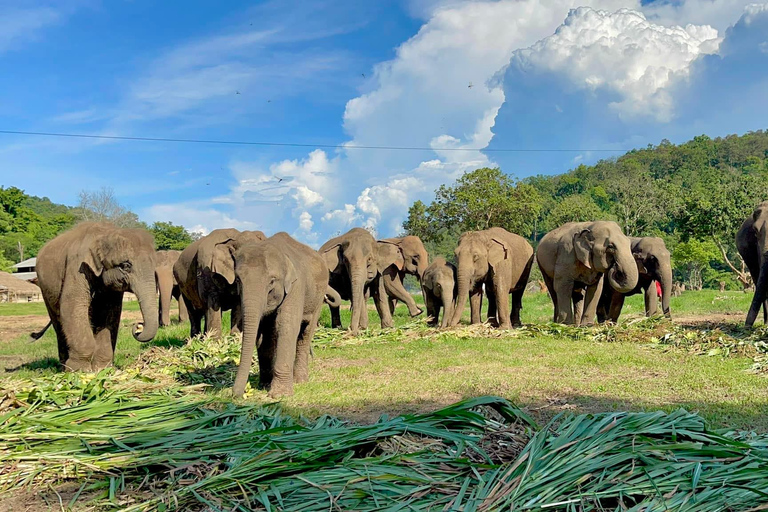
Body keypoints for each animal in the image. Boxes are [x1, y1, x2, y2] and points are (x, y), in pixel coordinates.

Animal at [33, 222, 159, 370]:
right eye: (125, 265)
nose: (138, 326)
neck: (105, 232)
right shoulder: (77, 267)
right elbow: (72, 308)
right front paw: (80, 370)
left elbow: (110, 314)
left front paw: (102, 368)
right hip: (45, 288)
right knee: (58, 322)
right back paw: (64, 367)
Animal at [231, 233, 328, 400]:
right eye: (238, 279)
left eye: (272, 281)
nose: (234, 394)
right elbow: (262, 334)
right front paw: (264, 386)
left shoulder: (296, 286)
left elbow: (286, 327)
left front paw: (279, 395)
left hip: (318, 298)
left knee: (305, 333)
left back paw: (300, 380)